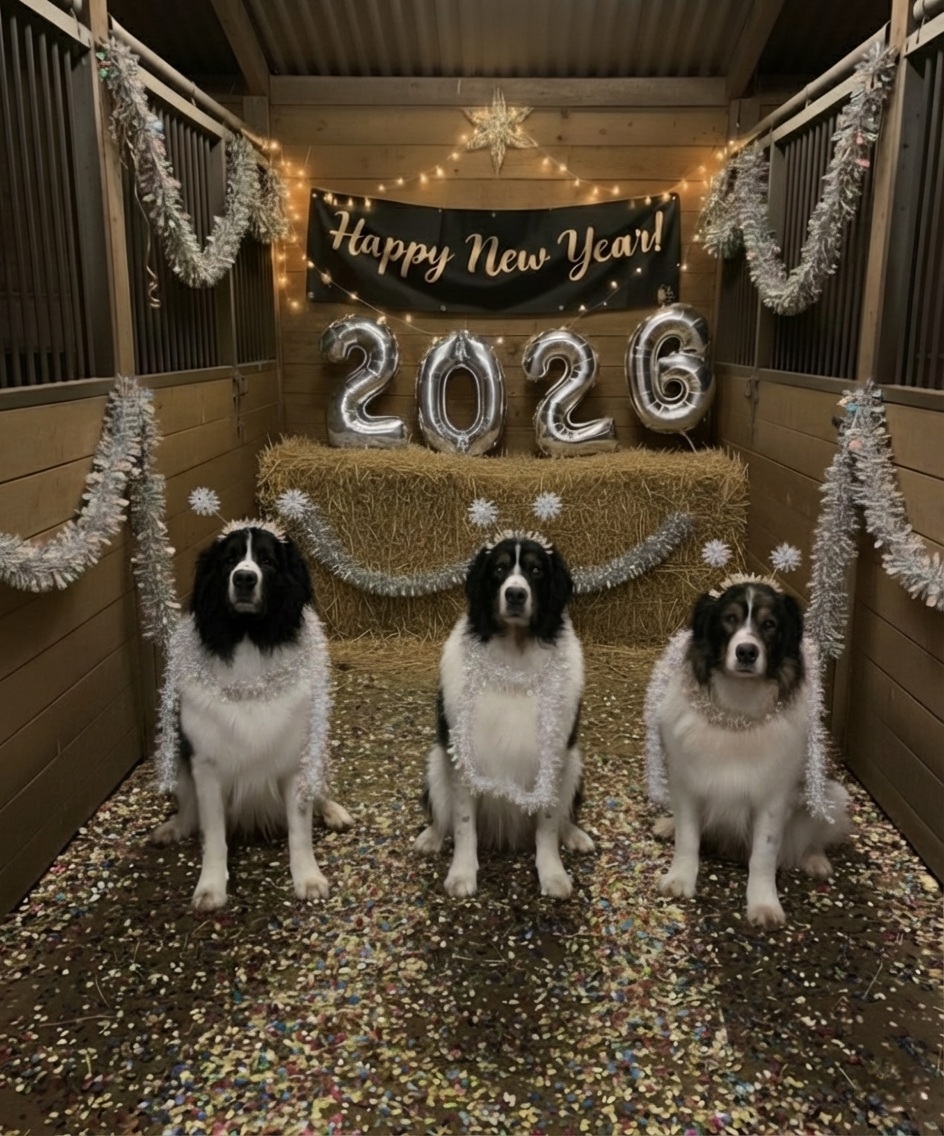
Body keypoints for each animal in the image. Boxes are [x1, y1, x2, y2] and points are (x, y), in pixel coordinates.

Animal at [151, 521, 352, 911]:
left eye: (268, 561)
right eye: (229, 560)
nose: (244, 578)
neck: (248, 643)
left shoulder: (295, 760)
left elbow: (300, 830)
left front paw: (308, 878)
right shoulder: (206, 765)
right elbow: (213, 833)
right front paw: (211, 886)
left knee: (320, 791)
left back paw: (334, 811)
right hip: (181, 761)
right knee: (189, 808)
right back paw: (175, 827)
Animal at [414, 532, 594, 898]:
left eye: (536, 570)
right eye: (498, 569)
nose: (515, 594)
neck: (515, 656)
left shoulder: (555, 756)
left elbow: (548, 822)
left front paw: (552, 873)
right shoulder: (462, 757)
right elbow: (463, 822)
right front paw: (462, 873)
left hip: (575, 764)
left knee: (565, 814)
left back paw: (575, 834)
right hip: (435, 763)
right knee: (442, 815)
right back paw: (431, 837)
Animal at [653, 579, 850, 929]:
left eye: (769, 624)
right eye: (730, 619)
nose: (746, 651)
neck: (738, 711)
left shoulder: (773, 798)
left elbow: (764, 855)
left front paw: (763, 904)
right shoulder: (686, 783)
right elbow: (687, 838)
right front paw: (680, 879)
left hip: (831, 794)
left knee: (814, 834)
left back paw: (815, 860)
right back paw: (667, 824)